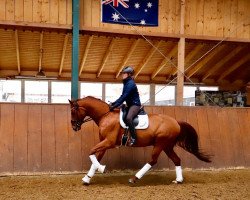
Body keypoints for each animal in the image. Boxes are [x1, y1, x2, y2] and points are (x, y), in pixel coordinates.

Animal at [69, 96, 212, 185]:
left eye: (73, 111)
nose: (74, 127)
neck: (106, 115)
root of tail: (176, 122)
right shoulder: (104, 143)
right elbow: (95, 157)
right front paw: (87, 178)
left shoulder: (109, 142)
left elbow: (91, 151)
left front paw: (101, 169)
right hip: (167, 146)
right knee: (176, 160)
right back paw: (179, 180)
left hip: (160, 144)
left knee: (153, 160)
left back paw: (134, 178)